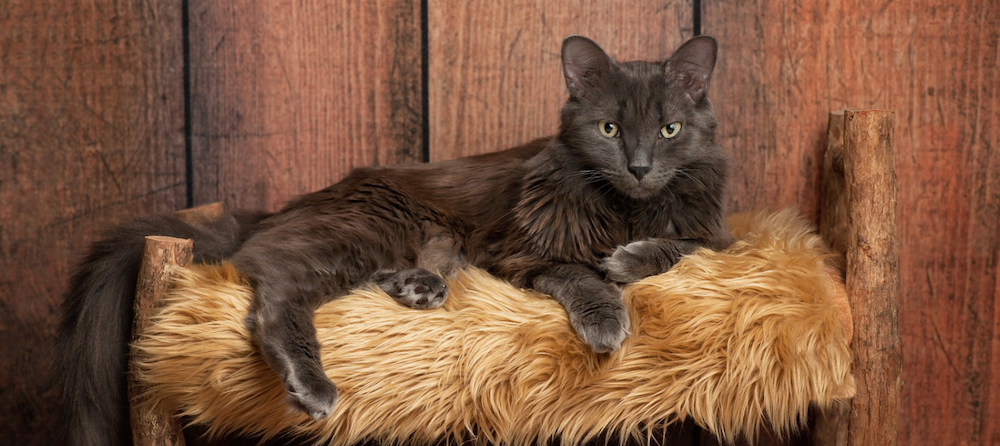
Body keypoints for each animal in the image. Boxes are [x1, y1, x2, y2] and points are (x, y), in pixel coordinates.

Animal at [56, 35, 736, 446]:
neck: (628, 209)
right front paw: (606, 315)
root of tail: (273, 211)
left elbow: (685, 246)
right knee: (275, 292)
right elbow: (578, 274)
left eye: (670, 129)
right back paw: (313, 384)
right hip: (369, 228)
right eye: (609, 128)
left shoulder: (723, 239)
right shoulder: (521, 251)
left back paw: (419, 288)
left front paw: (630, 259)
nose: (641, 168)